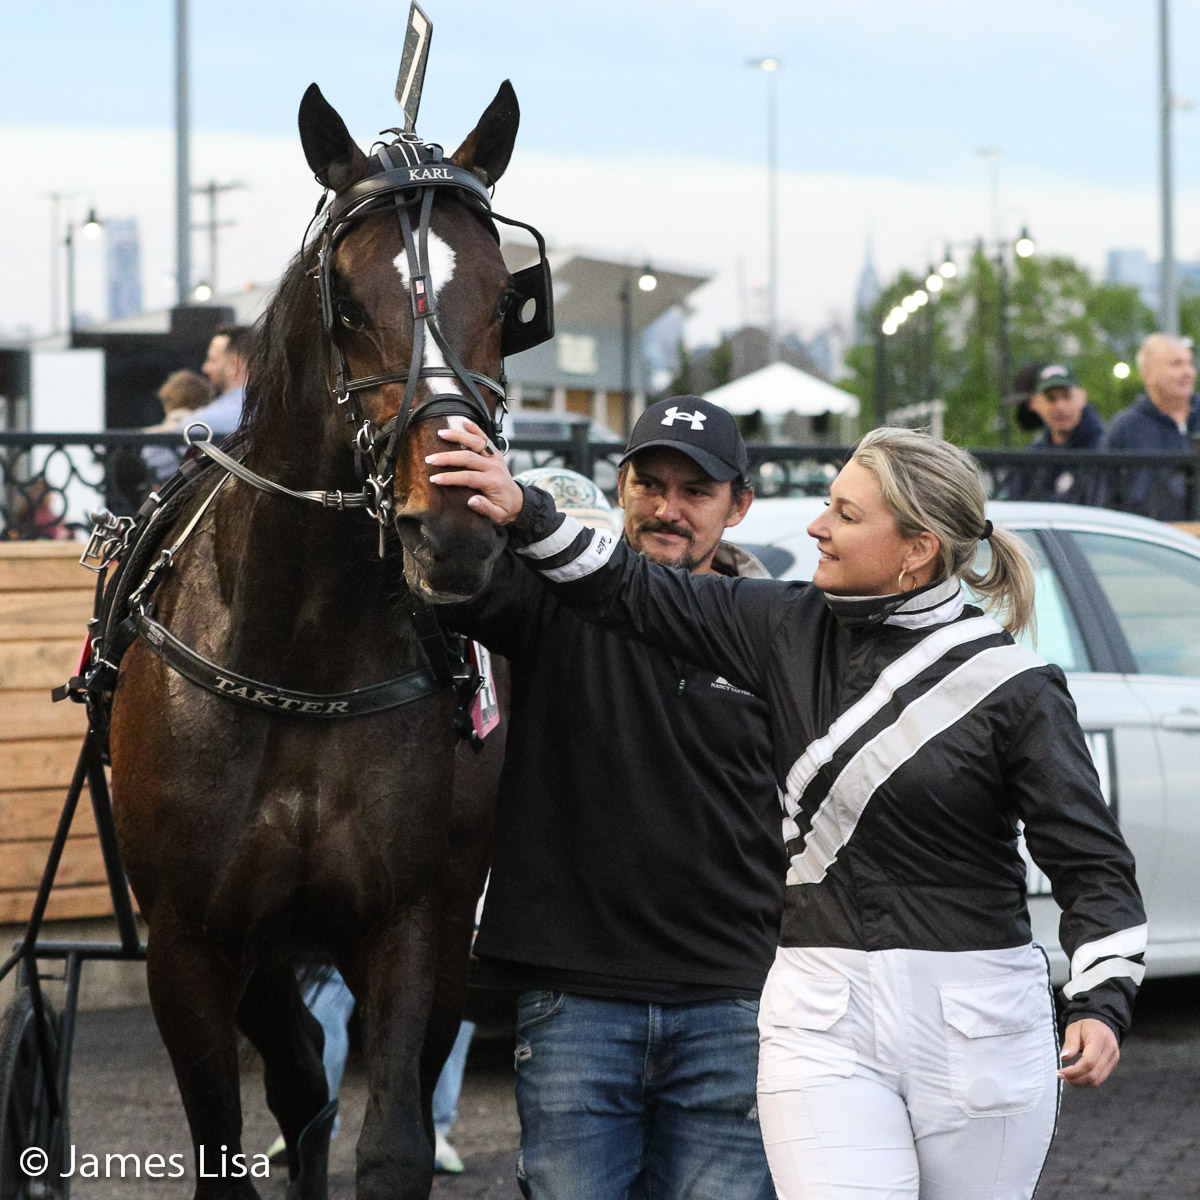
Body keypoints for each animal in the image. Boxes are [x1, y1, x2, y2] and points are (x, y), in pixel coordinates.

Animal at [105, 79, 542, 1195]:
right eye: (347, 304)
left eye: (503, 302)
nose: (456, 527)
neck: (298, 653)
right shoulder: (191, 940)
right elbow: (230, 1135)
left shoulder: (412, 920)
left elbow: (392, 1141)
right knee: (301, 1074)